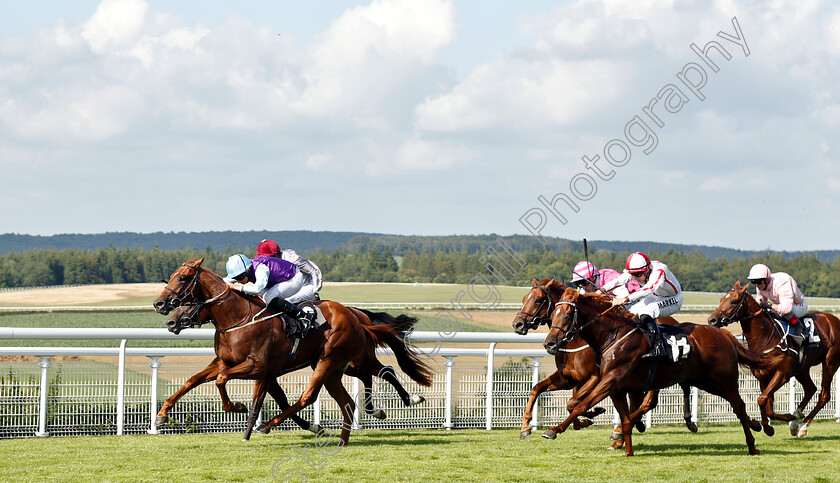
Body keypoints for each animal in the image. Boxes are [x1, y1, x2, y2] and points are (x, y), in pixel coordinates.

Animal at [152, 258, 436, 446]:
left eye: (184, 279)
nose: (161, 306)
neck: (238, 319)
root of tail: (356, 318)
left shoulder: (258, 367)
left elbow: (228, 384)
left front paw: (238, 407)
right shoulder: (227, 362)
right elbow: (193, 380)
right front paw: (161, 416)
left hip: (334, 360)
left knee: (318, 393)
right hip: (334, 367)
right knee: (349, 398)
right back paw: (344, 438)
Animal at [540, 290, 784, 456]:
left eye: (568, 314)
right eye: (553, 314)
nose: (549, 343)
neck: (612, 336)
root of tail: (724, 334)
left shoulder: (610, 380)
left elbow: (580, 405)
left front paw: (554, 430)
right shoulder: (615, 387)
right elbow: (624, 418)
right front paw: (627, 449)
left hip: (723, 381)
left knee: (739, 407)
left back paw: (753, 444)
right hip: (704, 381)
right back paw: (756, 428)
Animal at [708, 282, 840, 440]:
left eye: (734, 301)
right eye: (722, 299)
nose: (712, 320)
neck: (765, 337)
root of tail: (835, 320)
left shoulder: (782, 374)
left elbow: (762, 400)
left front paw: (784, 420)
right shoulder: (762, 377)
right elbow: (767, 404)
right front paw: (770, 426)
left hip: (830, 362)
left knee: (824, 395)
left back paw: (802, 426)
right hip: (802, 369)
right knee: (810, 389)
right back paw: (796, 419)